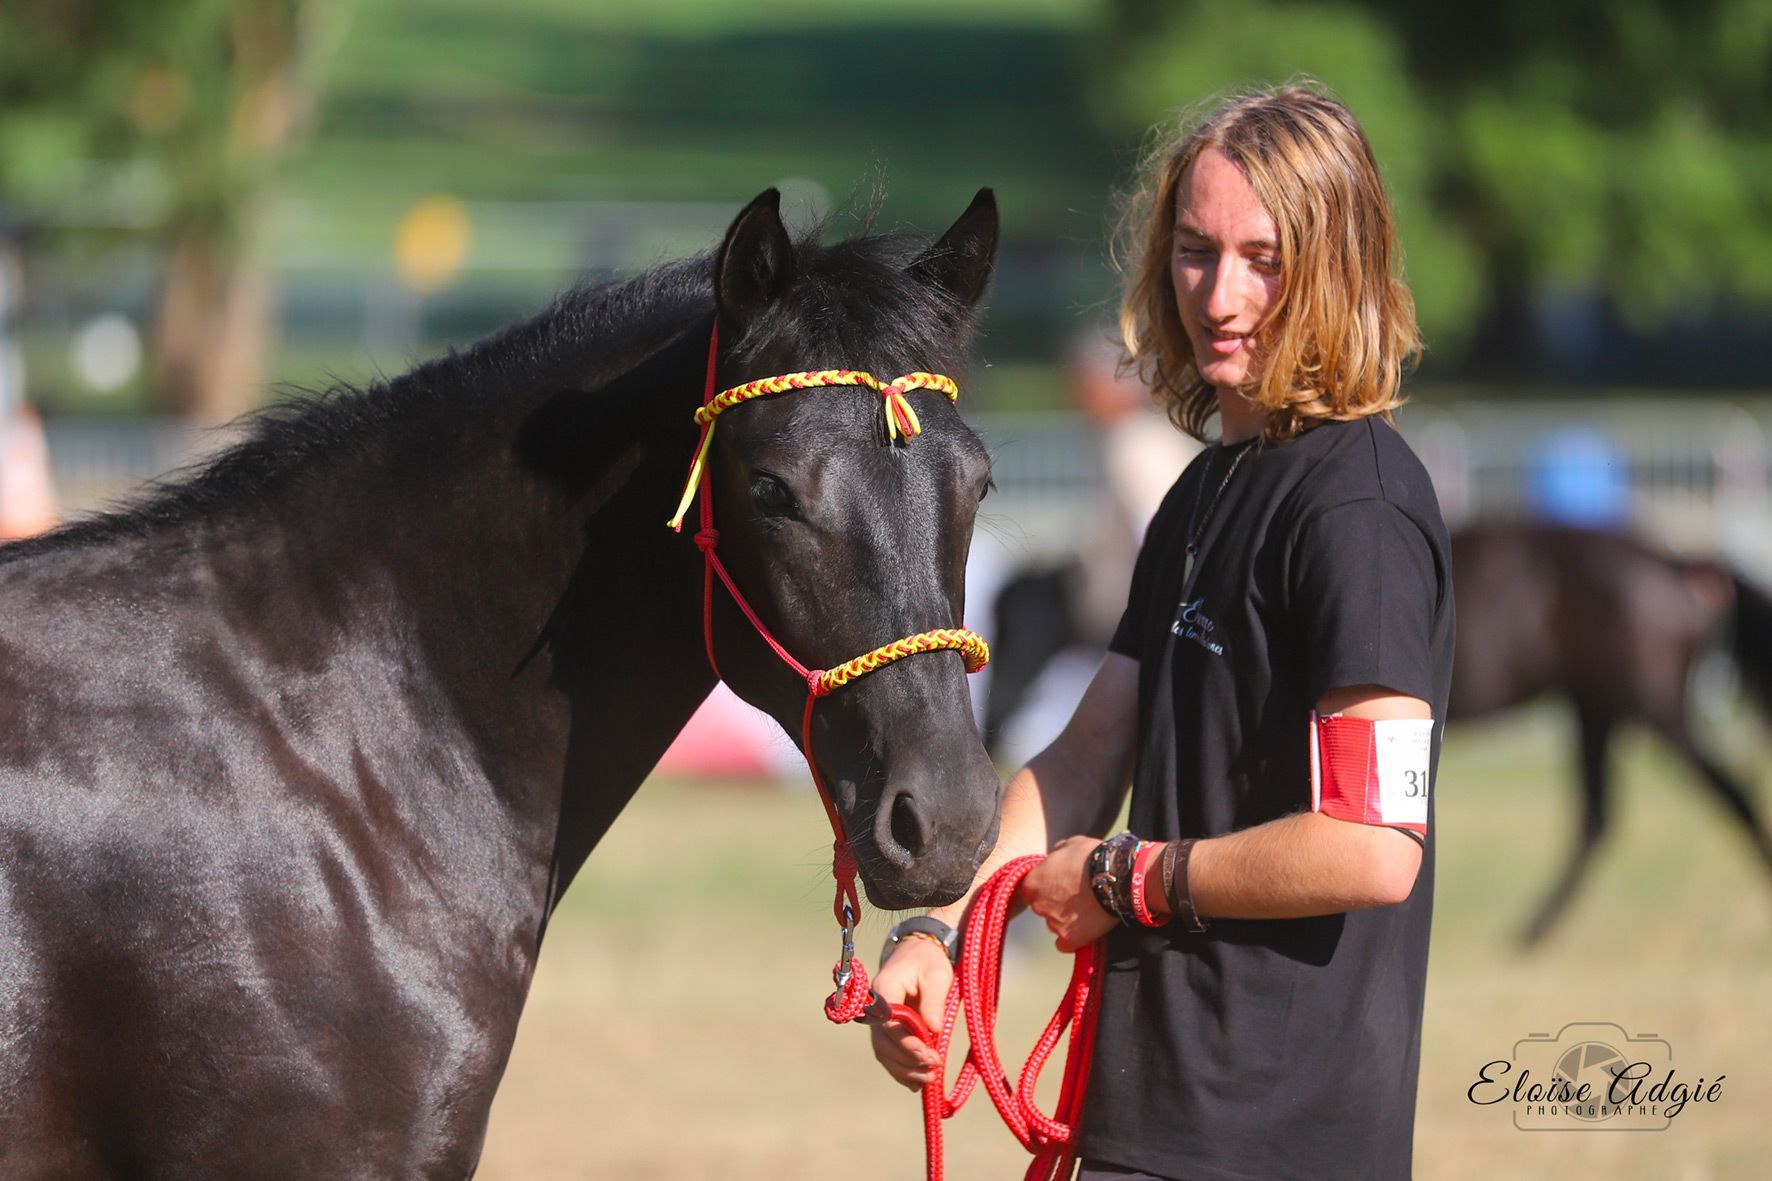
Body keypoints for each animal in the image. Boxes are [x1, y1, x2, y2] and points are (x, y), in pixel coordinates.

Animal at [982, 520, 1772, 945]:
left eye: (1019, 629)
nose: (990, 724)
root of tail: (1681, 563)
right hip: (1595, 707)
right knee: (1599, 817)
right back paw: (1532, 930)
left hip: (1648, 705)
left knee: (1726, 792)